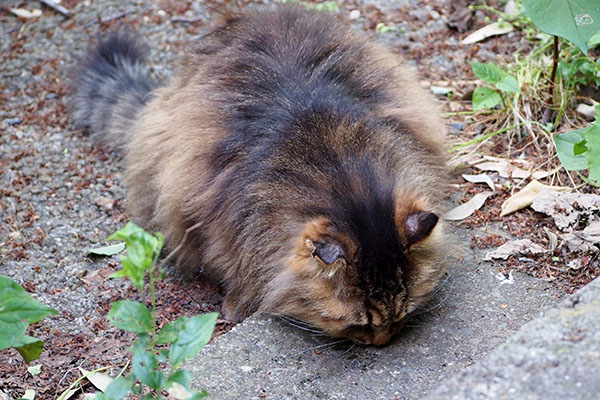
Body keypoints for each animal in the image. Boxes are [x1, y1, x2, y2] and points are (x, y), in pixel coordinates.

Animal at [70, 3, 450, 346]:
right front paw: (239, 303)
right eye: (360, 323)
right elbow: (232, 259)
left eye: (401, 314)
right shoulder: (223, 214)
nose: (383, 342)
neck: (345, 178)